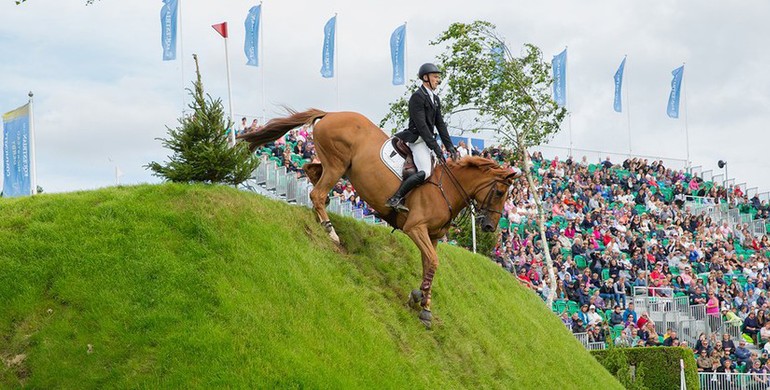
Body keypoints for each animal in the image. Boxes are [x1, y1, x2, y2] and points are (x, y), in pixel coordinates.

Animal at [238, 109, 516, 326]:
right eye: (499, 192)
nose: (489, 226)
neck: (446, 187)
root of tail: (330, 114)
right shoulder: (416, 228)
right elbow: (434, 263)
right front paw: (421, 301)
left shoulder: (433, 237)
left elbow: (430, 265)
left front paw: (423, 305)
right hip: (337, 164)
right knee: (317, 193)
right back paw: (330, 230)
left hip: (335, 165)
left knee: (311, 172)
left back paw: (322, 211)